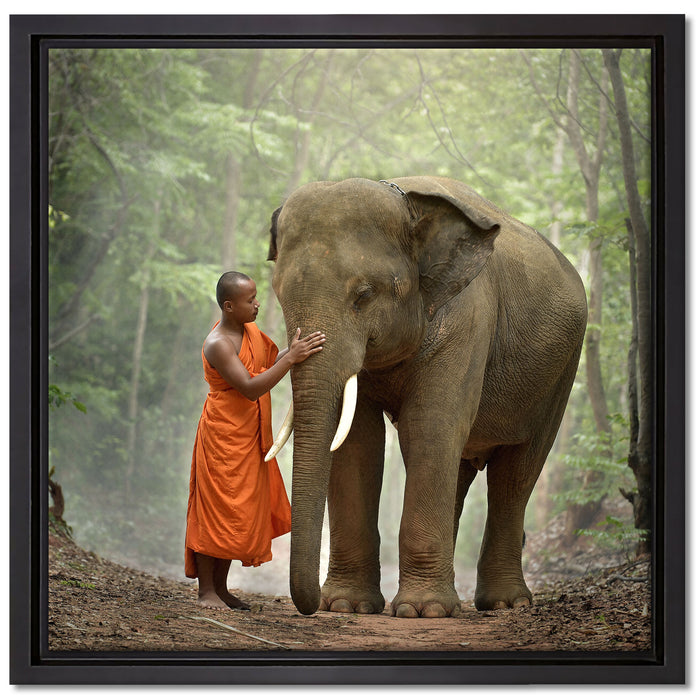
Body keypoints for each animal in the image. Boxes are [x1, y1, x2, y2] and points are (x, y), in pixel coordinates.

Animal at [265, 176, 587, 618]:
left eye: (363, 295)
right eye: (278, 294)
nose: (312, 606)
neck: (406, 202)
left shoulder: (468, 318)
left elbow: (429, 427)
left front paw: (423, 611)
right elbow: (359, 440)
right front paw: (348, 606)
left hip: (560, 373)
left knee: (517, 472)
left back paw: (504, 603)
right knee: (462, 469)